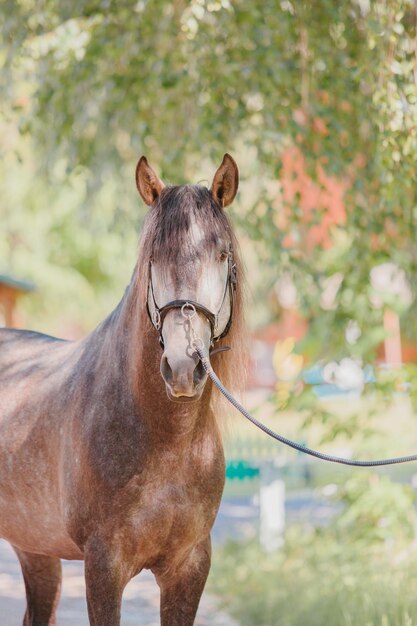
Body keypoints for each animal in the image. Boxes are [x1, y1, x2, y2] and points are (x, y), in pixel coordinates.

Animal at [0, 152, 244, 624]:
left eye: (222, 253)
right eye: (153, 255)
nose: (184, 366)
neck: (167, 442)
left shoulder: (190, 566)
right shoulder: (103, 565)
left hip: (34, 548)